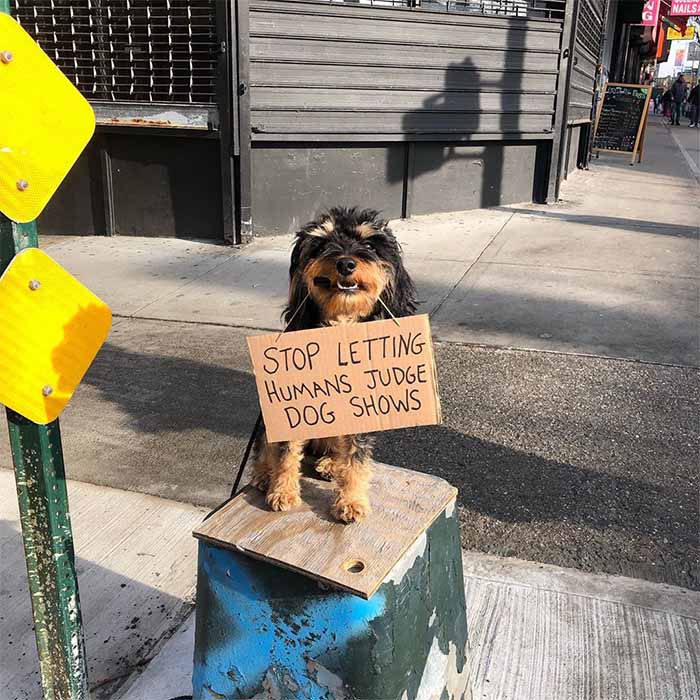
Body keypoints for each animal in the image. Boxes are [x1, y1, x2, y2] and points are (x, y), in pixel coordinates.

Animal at [252, 205, 416, 524]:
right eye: (321, 245)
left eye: (369, 246)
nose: (346, 263)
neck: (339, 325)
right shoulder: (293, 404)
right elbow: (285, 451)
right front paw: (282, 490)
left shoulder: (361, 407)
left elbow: (356, 458)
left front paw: (351, 501)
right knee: (265, 444)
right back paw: (264, 474)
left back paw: (330, 463)